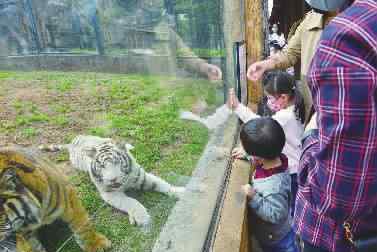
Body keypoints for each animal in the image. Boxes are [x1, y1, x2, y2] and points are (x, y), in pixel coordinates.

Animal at [39, 136, 184, 226]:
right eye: (102, 166)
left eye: (116, 162)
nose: (112, 179)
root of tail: (72, 142)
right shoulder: (110, 193)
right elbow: (131, 201)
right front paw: (142, 217)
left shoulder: (142, 177)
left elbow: (162, 184)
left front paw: (181, 192)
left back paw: (128, 145)